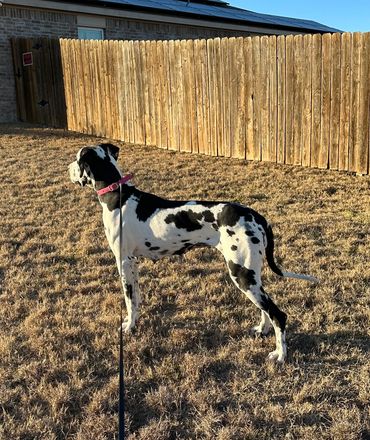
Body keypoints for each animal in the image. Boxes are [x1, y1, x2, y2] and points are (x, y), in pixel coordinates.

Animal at [69, 144, 318, 364]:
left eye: (78, 159)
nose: (67, 168)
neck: (118, 196)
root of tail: (255, 215)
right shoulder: (133, 265)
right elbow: (137, 299)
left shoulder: (124, 262)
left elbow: (129, 300)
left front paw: (129, 327)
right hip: (251, 275)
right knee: (265, 307)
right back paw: (262, 329)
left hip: (241, 273)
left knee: (278, 314)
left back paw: (280, 355)